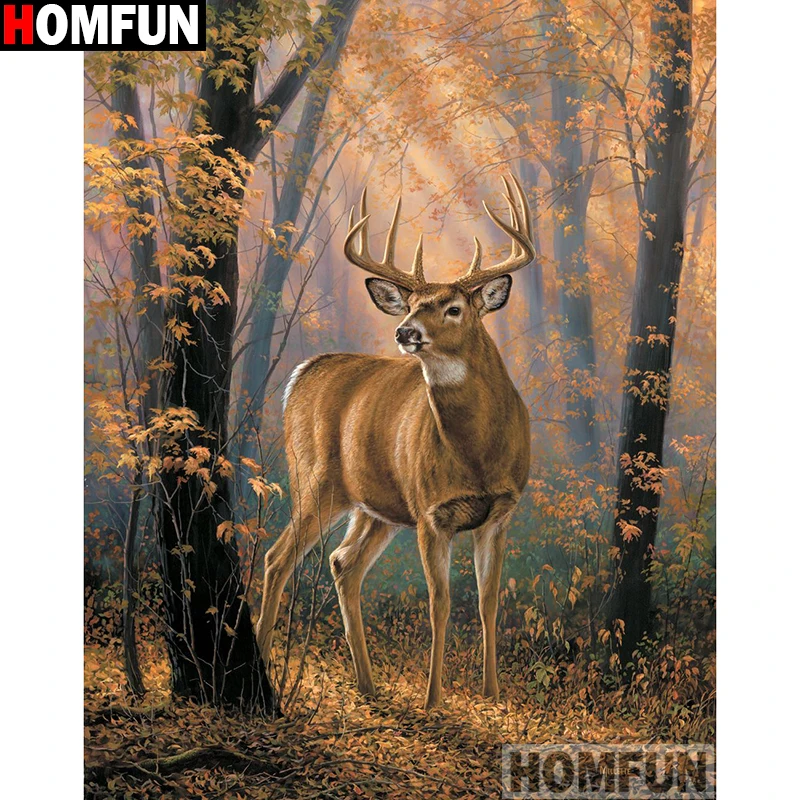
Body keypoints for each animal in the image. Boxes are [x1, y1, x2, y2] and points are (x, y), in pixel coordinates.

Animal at [255, 175, 535, 709]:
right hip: (315, 479)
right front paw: (433, 700)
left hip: (375, 506)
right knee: (277, 558)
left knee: (343, 564)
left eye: (454, 308)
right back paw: (259, 665)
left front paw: (490, 694)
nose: (405, 331)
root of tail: (301, 374)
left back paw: (367, 684)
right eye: (409, 305)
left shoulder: (501, 513)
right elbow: (440, 603)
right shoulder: (430, 512)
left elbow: (488, 602)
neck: (477, 455)